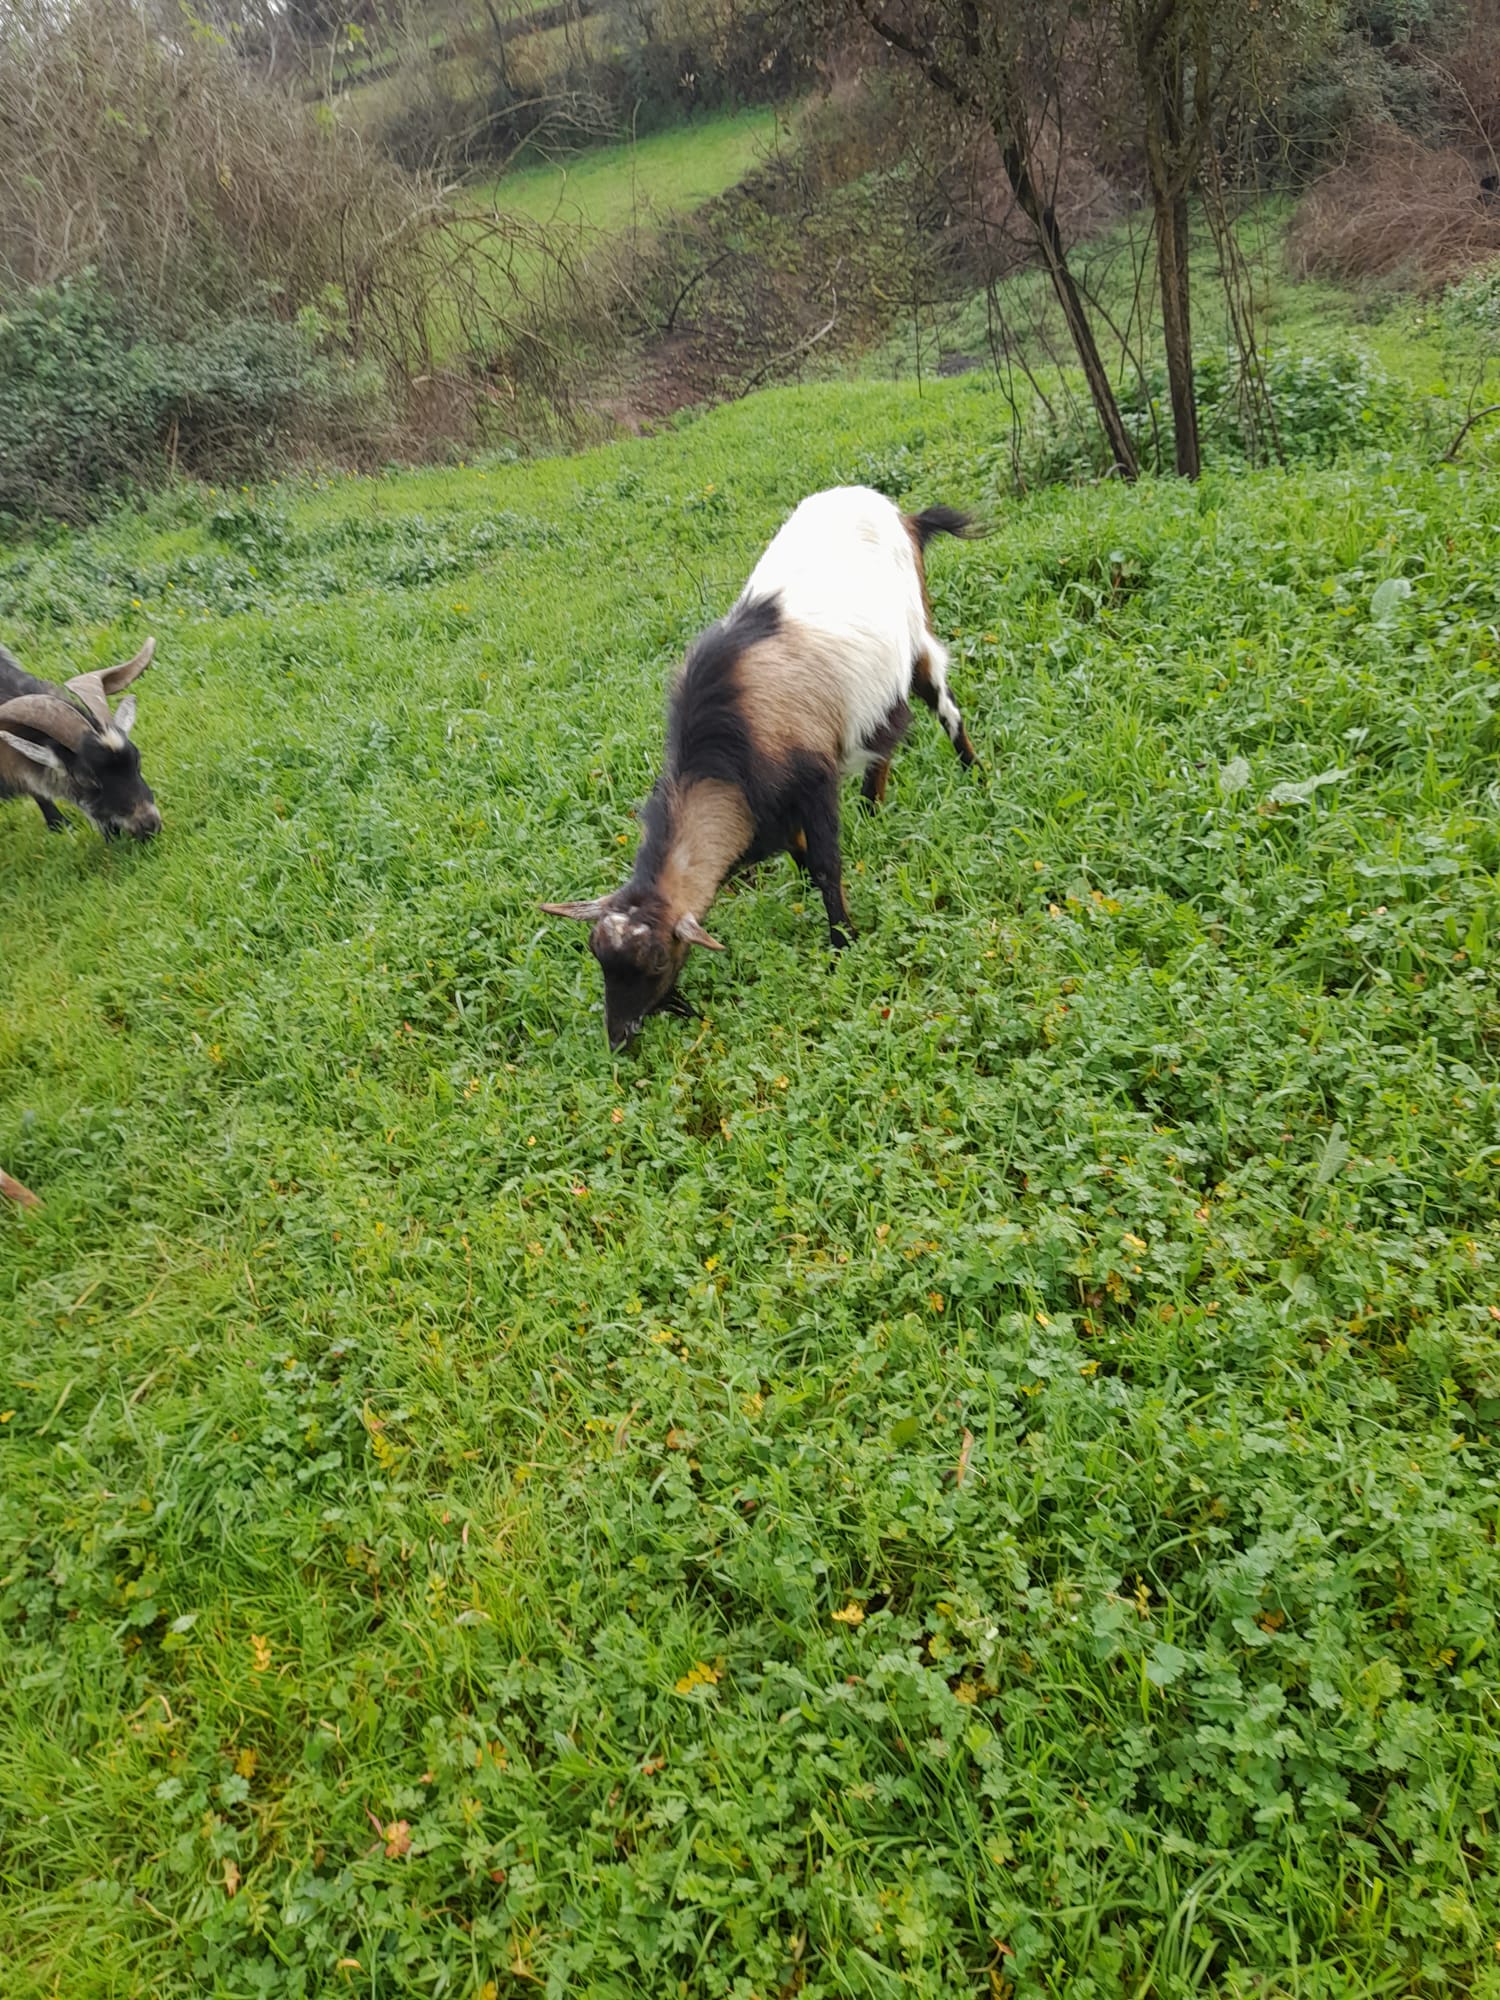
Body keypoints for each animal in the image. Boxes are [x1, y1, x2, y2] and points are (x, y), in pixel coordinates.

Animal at [548, 488, 980, 1048]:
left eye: (658, 959)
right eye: (597, 956)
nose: (620, 1037)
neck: (730, 743)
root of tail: (901, 514)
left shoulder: (814, 781)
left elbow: (824, 865)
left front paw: (843, 941)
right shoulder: (771, 809)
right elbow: (799, 856)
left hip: (918, 641)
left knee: (944, 708)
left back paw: (976, 777)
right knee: (888, 733)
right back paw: (873, 809)